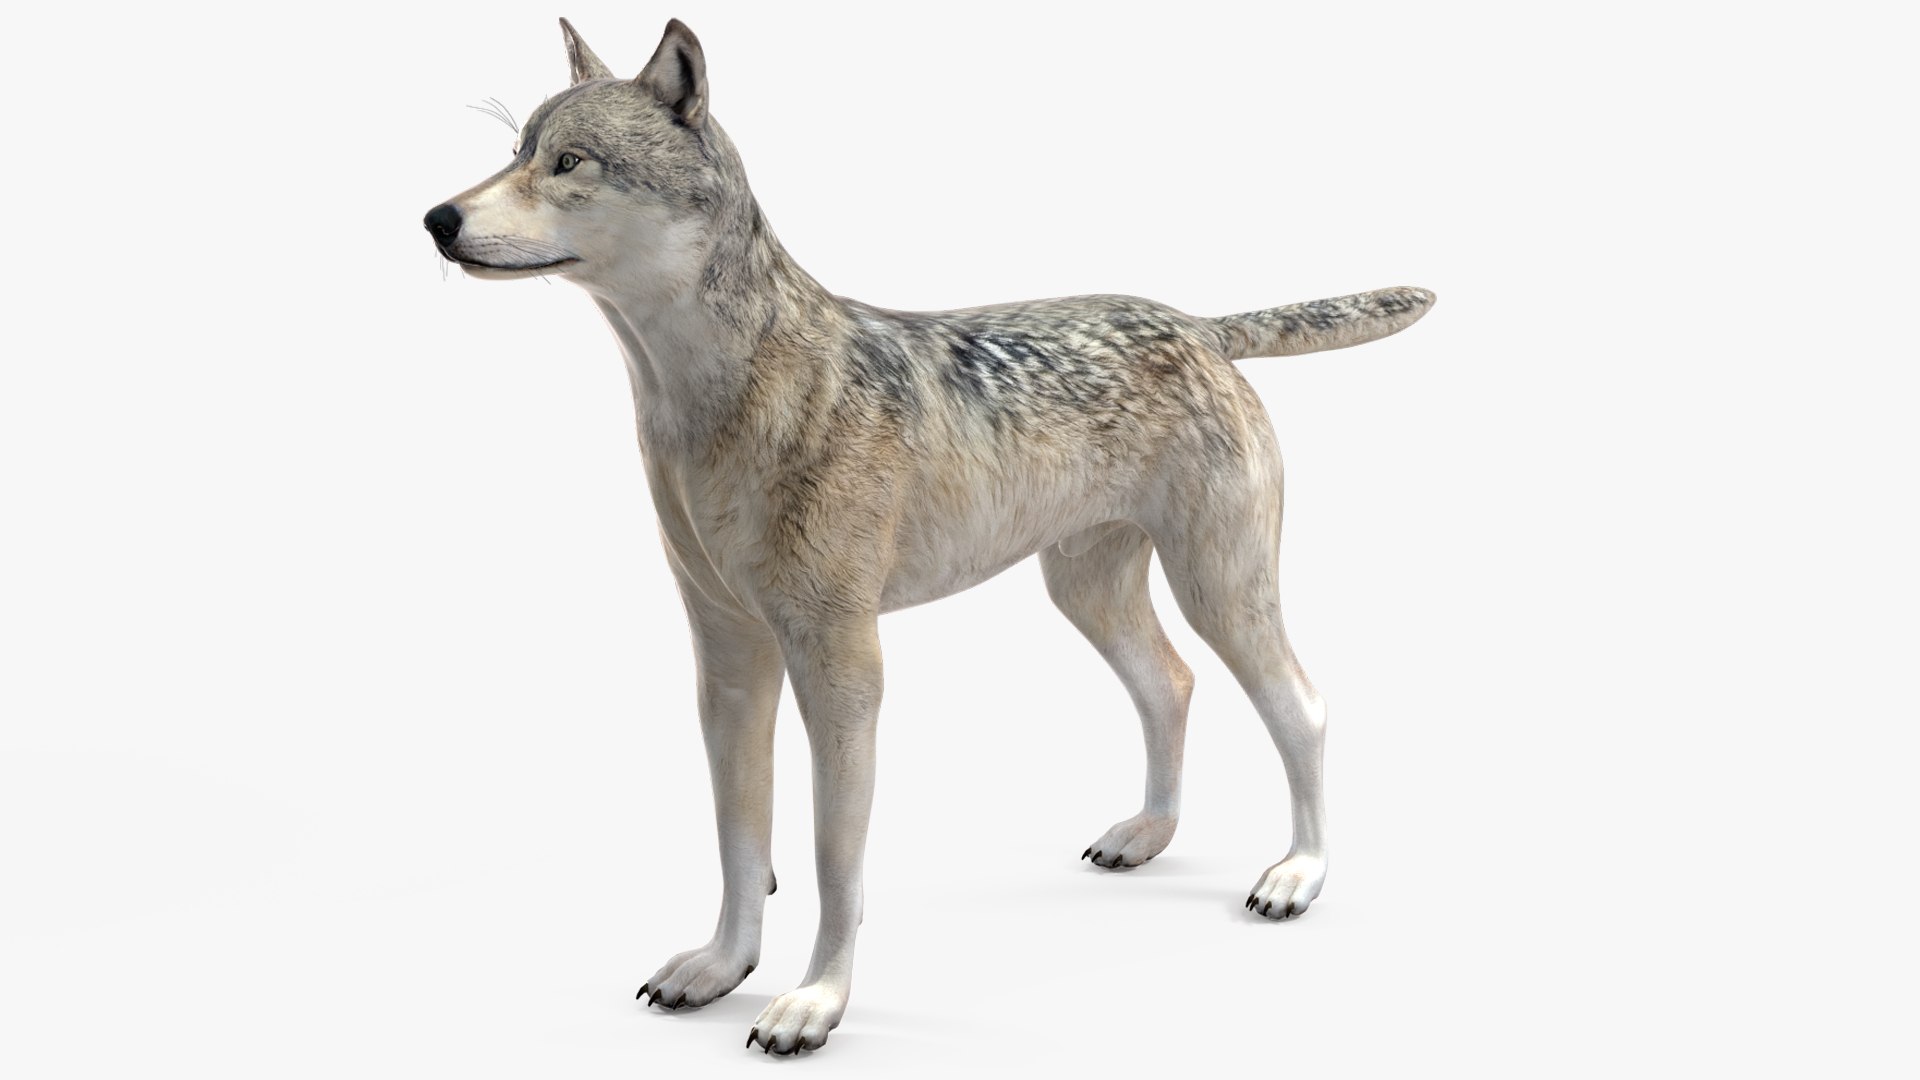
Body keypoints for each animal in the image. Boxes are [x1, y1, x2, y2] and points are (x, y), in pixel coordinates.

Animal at [424, 17, 1434, 1054]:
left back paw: (1297, 875)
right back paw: (1143, 835)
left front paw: (814, 1003)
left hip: (1218, 588)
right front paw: (720, 968)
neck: (707, 402)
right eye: (516, 151)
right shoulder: (729, 658)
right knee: (1171, 684)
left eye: (568, 163)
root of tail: (1201, 326)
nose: (436, 220)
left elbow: (833, 861)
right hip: (1086, 590)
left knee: (1303, 707)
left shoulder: (842, 668)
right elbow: (740, 840)